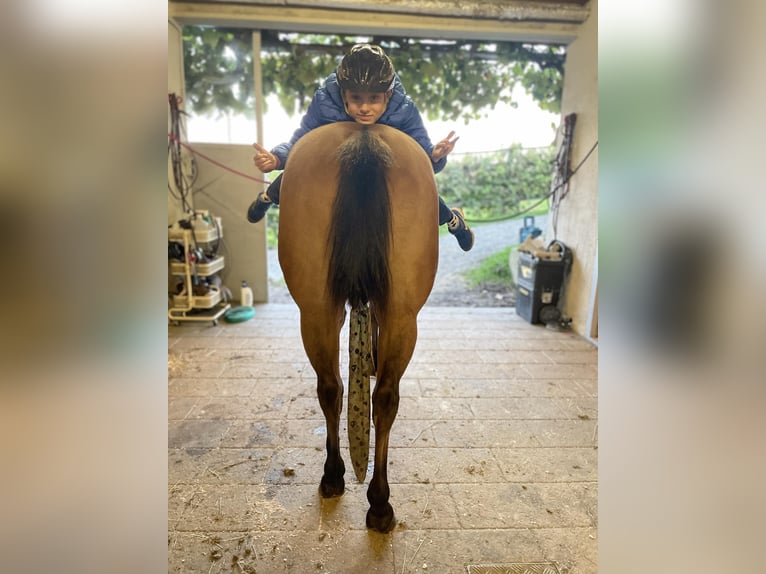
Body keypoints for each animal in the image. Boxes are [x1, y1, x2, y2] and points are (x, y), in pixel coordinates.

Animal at [280, 122, 440, 536]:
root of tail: (363, 136)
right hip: (398, 313)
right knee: (379, 397)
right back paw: (375, 499)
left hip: (318, 309)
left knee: (336, 388)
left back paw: (340, 479)